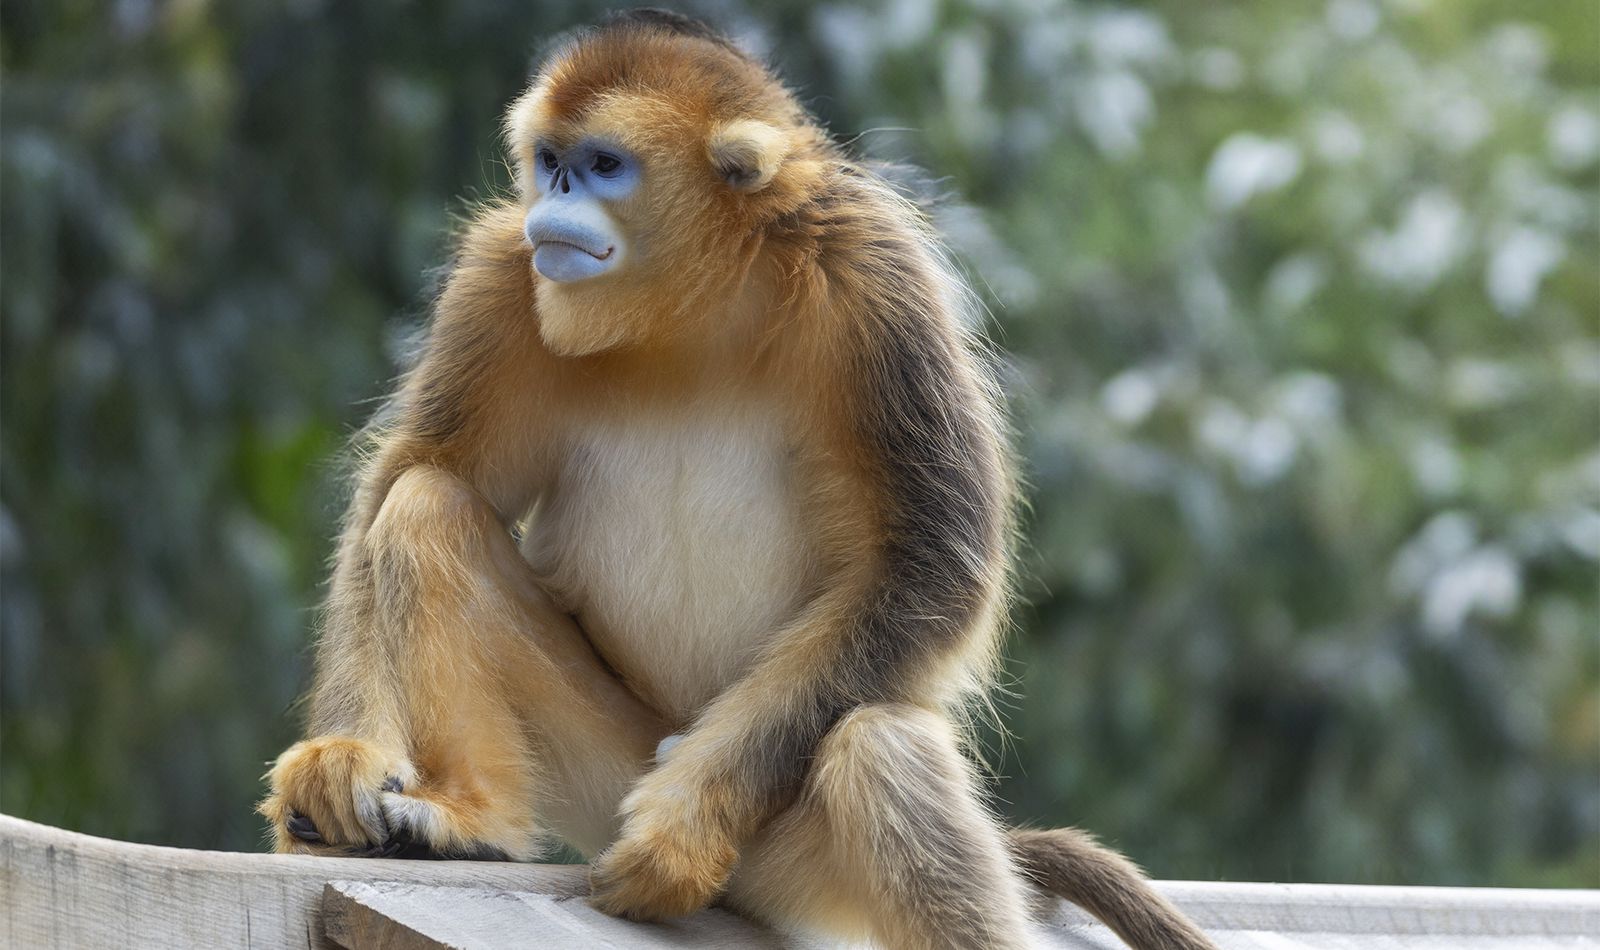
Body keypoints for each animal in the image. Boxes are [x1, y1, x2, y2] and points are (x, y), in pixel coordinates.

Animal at [258, 11, 1217, 950]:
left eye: (604, 165)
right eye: (551, 162)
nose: (557, 201)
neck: (695, 305)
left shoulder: (875, 272)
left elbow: (927, 562)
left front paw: (681, 830)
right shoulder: (501, 273)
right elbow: (425, 471)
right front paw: (347, 756)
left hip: (777, 836)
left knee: (880, 746)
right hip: (616, 771)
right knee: (429, 506)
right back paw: (469, 819)